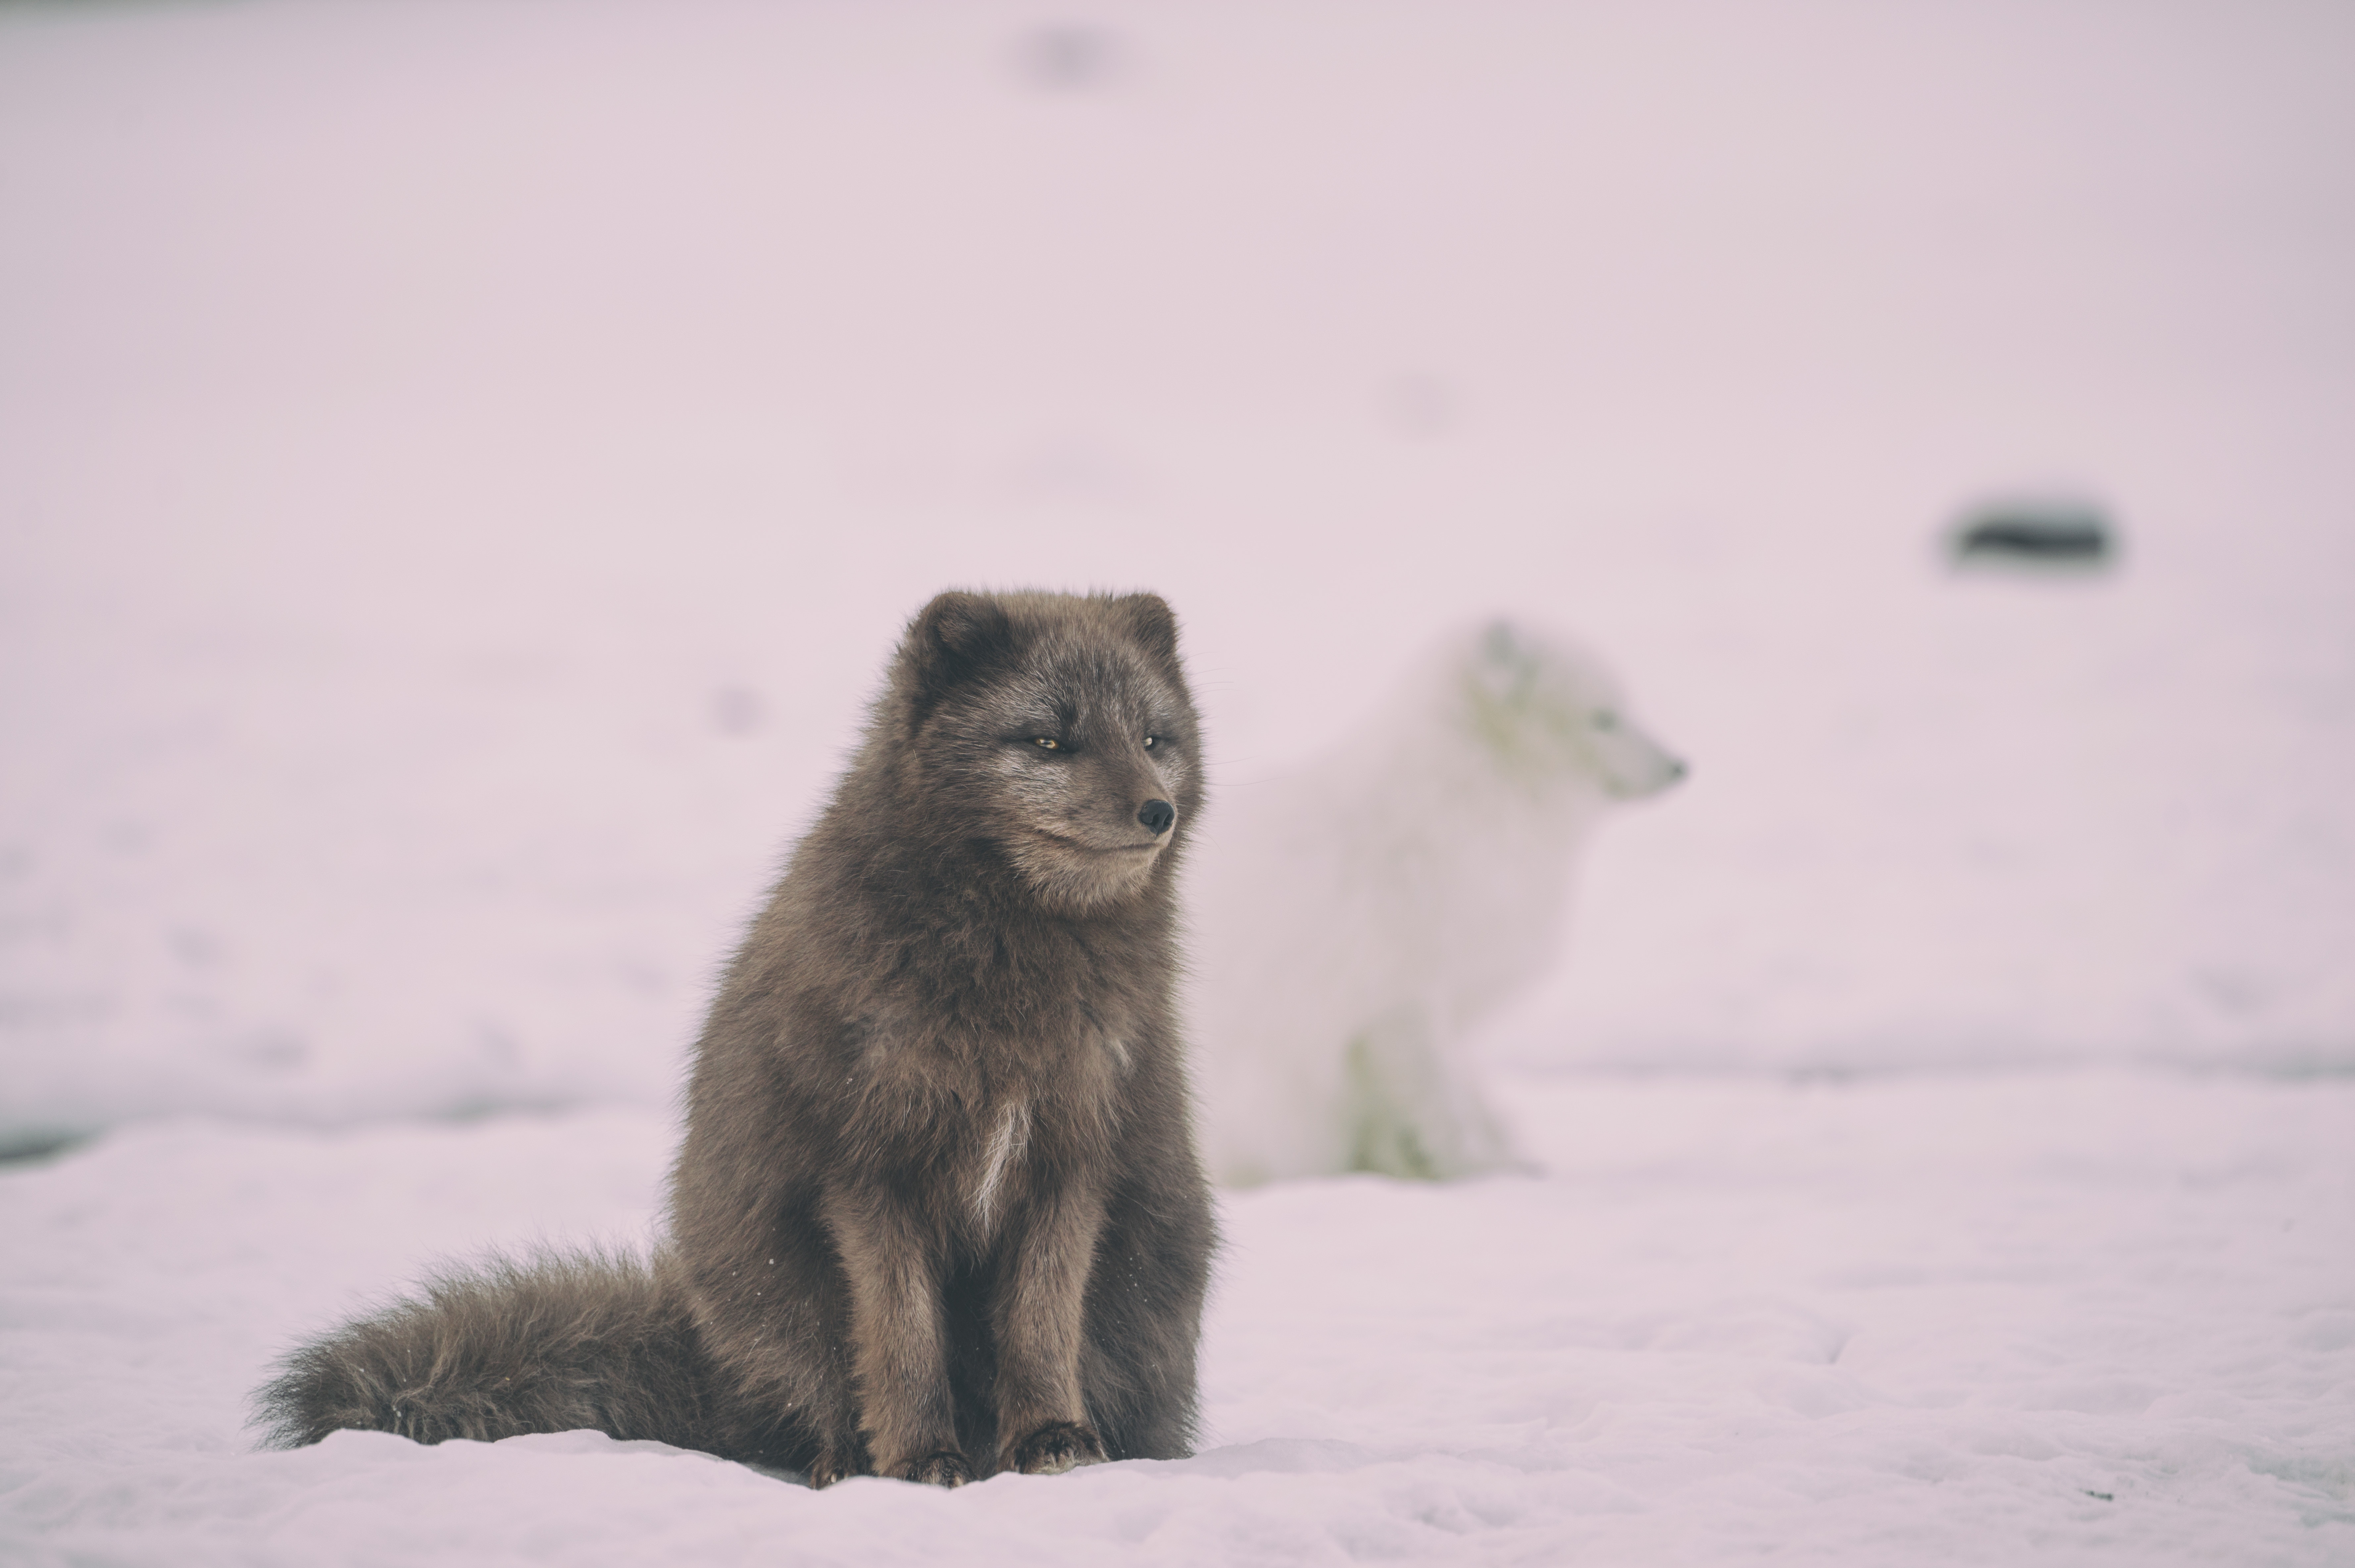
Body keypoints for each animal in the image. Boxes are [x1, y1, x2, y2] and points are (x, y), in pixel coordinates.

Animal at [254, 589, 1217, 1487]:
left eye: (1153, 737)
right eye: (1050, 741)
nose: (1157, 811)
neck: (1010, 978)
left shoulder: (1070, 1159)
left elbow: (1040, 1324)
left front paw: (1053, 1439)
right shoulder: (867, 1171)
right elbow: (901, 1337)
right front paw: (916, 1458)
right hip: (767, 1275)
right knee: (821, 1398)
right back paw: (849, 1461)